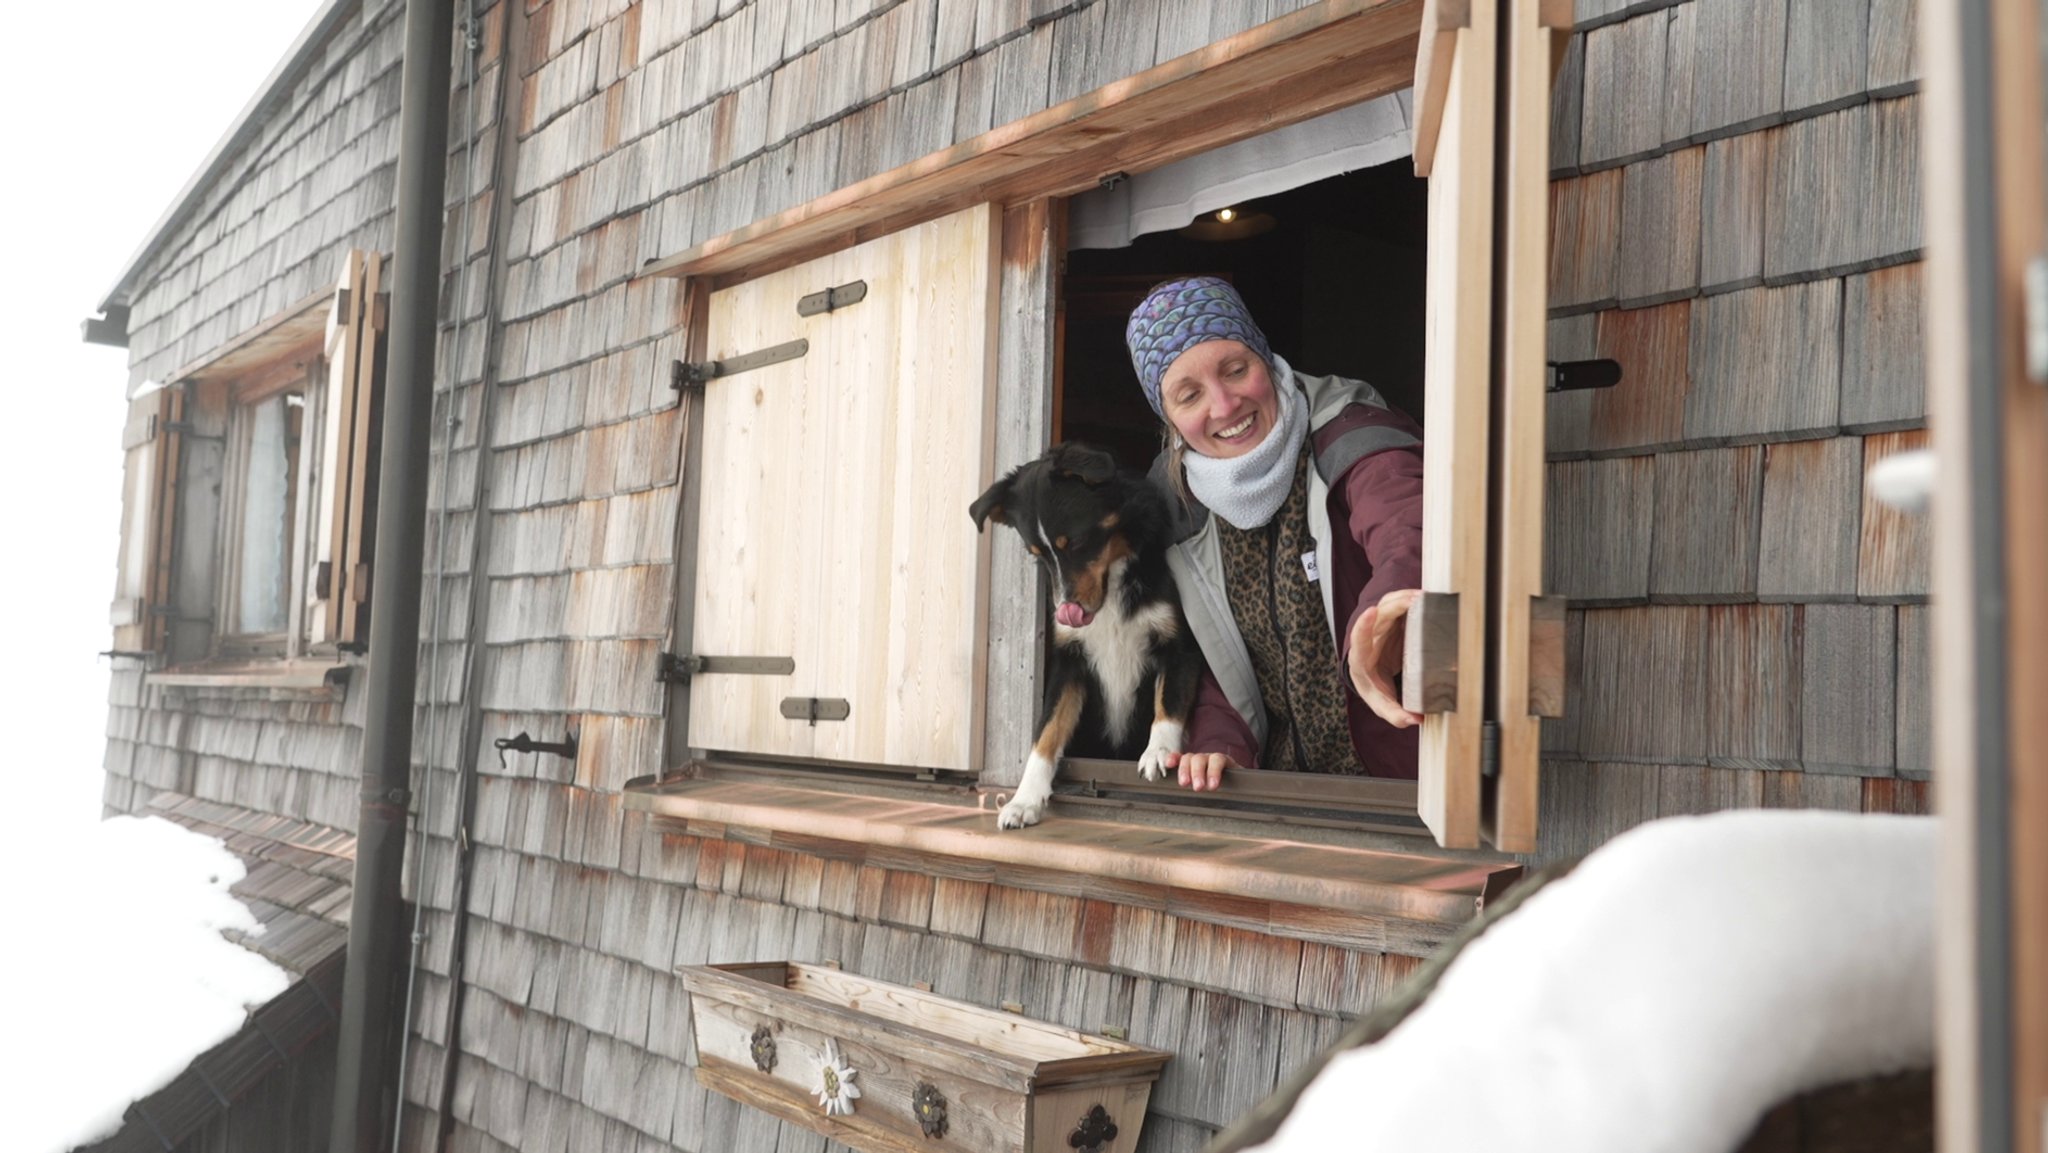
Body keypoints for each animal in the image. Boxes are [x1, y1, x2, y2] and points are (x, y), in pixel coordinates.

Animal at [970, 442, 1204, 831]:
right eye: (1037, 554)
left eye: (1076, 542)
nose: (1066, 609)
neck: (1114, 588)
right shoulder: (1070, 662)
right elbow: (1046, 732)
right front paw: (1024, 800)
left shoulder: (1179, 646)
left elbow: (1169, 701)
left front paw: (1158, 750)